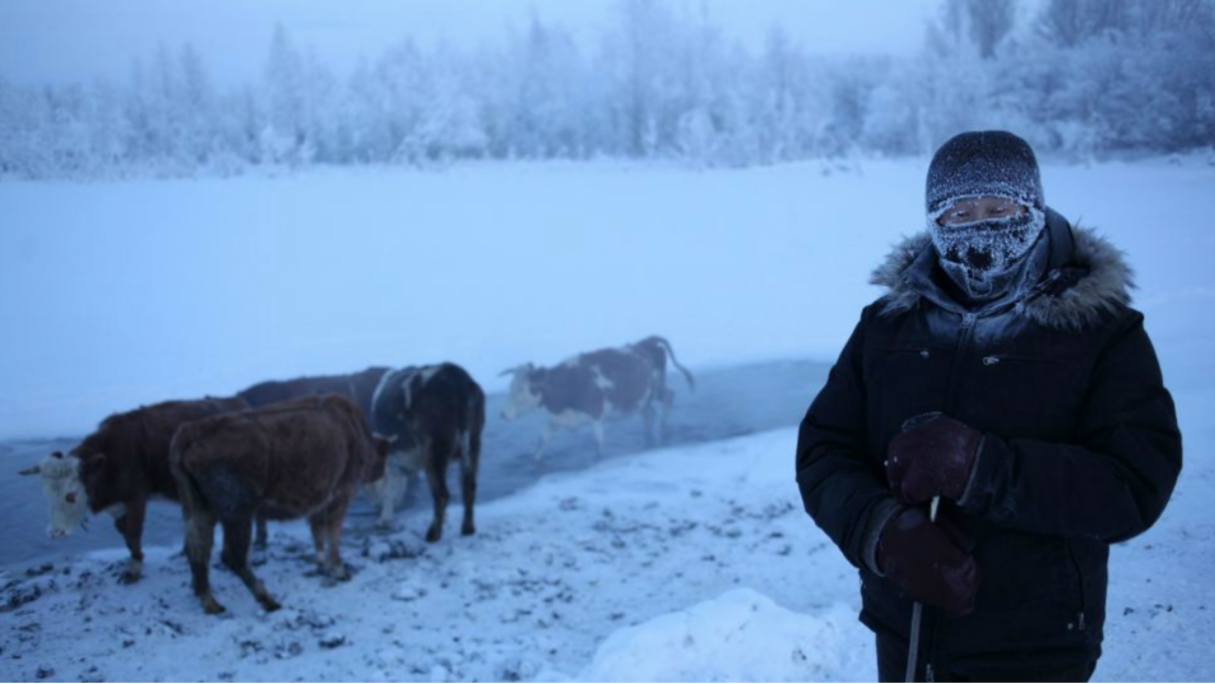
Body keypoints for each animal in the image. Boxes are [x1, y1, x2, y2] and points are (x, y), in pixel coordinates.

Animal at [17, 396, 249, 583]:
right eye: (46, 495)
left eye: (71, 496)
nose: (55, 533)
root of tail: (236, 402)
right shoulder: (118, 505)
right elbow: (125, 534)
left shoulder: (136, 498)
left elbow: (134, 532)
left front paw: (134, 568)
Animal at [171, 393, 386, 617]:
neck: (353, 428)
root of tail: (191, 432)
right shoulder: (340, 496)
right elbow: (333, 535)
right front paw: (338, 570)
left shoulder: (320, 505)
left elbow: (318, 534)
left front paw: (320, 564)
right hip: (237, 513)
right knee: (232, 556)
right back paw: (268, 600)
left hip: (199, 510)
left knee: (197, 550)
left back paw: (210, 602)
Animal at [366, 362, 486, 544]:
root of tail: (454, 374)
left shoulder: (392, 459)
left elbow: (389, 489)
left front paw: (384, 520)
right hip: (473, 443)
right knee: (468, 487)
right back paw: (467, 529)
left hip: (433, 448)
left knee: (442, 494)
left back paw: (433, 534)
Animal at [500, 335, 694, 459]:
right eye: (510, 386)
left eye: (522, 389)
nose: (502, 414)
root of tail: (647, 341)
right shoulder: (556, 419)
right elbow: (541, 441)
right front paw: (534, 460)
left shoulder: (595, 416)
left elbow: (597, 445)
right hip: (644, 397)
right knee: (650, 412)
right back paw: (649, 437)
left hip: (656, 387)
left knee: (668, 397)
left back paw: (664, 428)